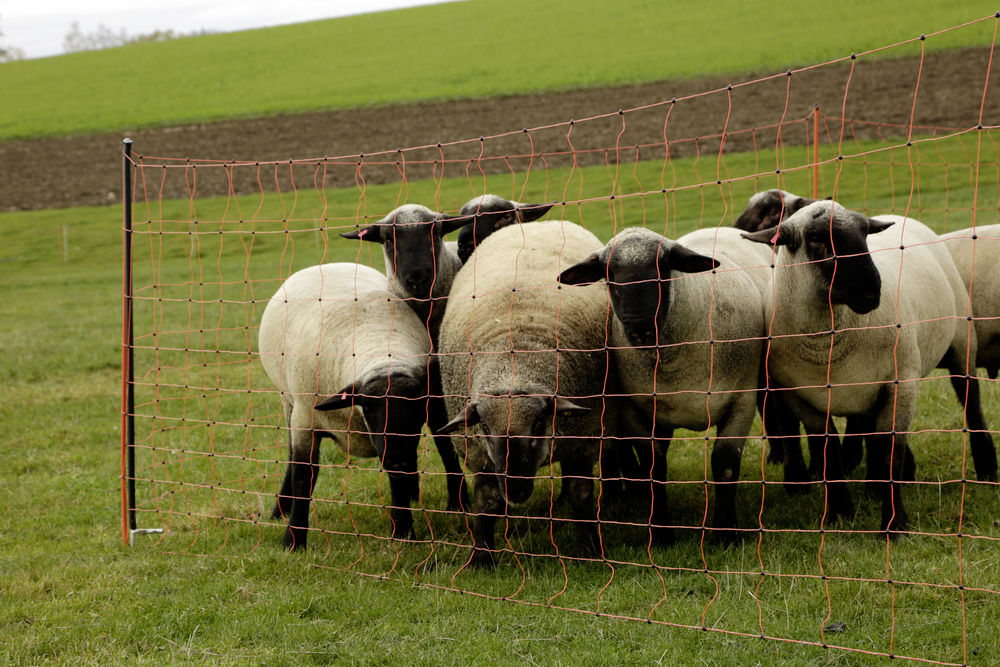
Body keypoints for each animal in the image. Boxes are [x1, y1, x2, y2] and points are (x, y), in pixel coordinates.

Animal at [262, 264, 438, 552]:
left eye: (416, 408)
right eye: (369, 408)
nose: (398, 458)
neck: (378, 347)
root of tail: (324, 265)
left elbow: (398, 479)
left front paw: (403, 532)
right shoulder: (305, 421)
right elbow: (304, 478)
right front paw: (293, 541)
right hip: (289, 403)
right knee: (290, 457)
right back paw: (280, 510)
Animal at [440, 219, 616, 568]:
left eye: (537, 425)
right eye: (484, 426)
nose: (517, 490)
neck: (514, 364)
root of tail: (539, 222)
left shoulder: (583, 439)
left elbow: (581, 494)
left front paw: (590, 550)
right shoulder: (477, 451)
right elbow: (486, 501)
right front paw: (481, 557)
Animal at [560, 227, 776, 544]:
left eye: (663, 268)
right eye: (608, 275)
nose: (640, 327)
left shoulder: (742, 401)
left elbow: (725, 464)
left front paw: (725, 534)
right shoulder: (635, 410)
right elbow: (654, 467)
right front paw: (661, 533)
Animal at [740, 201, 996, 536]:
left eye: (864, 234)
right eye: (818, 239)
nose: (871, 293)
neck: (826, 343)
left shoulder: (902, 384)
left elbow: (889, 452)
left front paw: (894, 526)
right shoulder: (800, 396)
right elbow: (826, 449)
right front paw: (839, 514)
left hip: (961, 342)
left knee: (971, 402)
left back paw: (987, 469)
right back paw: (877, 484)